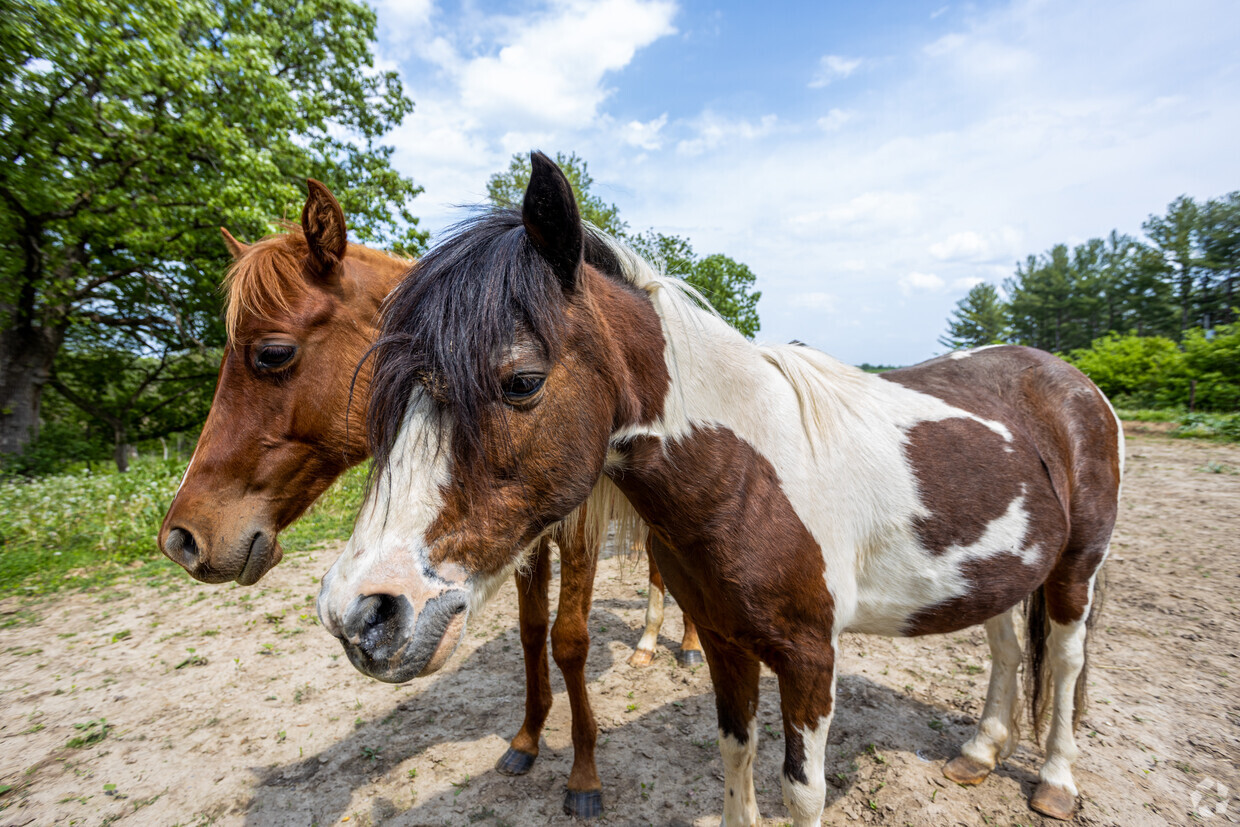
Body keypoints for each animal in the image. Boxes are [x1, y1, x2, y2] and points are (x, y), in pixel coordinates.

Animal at [155, 181, 699, 823]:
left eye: (272, 354)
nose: (182, 538)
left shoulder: (575, 530)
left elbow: (569, 641)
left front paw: (584, 774)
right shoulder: (523, 539)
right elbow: (531, 631)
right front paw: (526, 741)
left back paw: (684, 647)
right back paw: (650, 647)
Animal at [319, 151, 1125, 823]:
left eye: (521, 380)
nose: (359, 614)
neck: (747, 477)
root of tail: (1073, 381)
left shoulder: (810, 658)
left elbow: (802, 791)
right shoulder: (723, 639)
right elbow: (736, 754)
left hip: (1075, 568)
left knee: (1065, 660)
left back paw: (1055, 781)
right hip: (1002, 567)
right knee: (1007, 647)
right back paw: (979, 754)